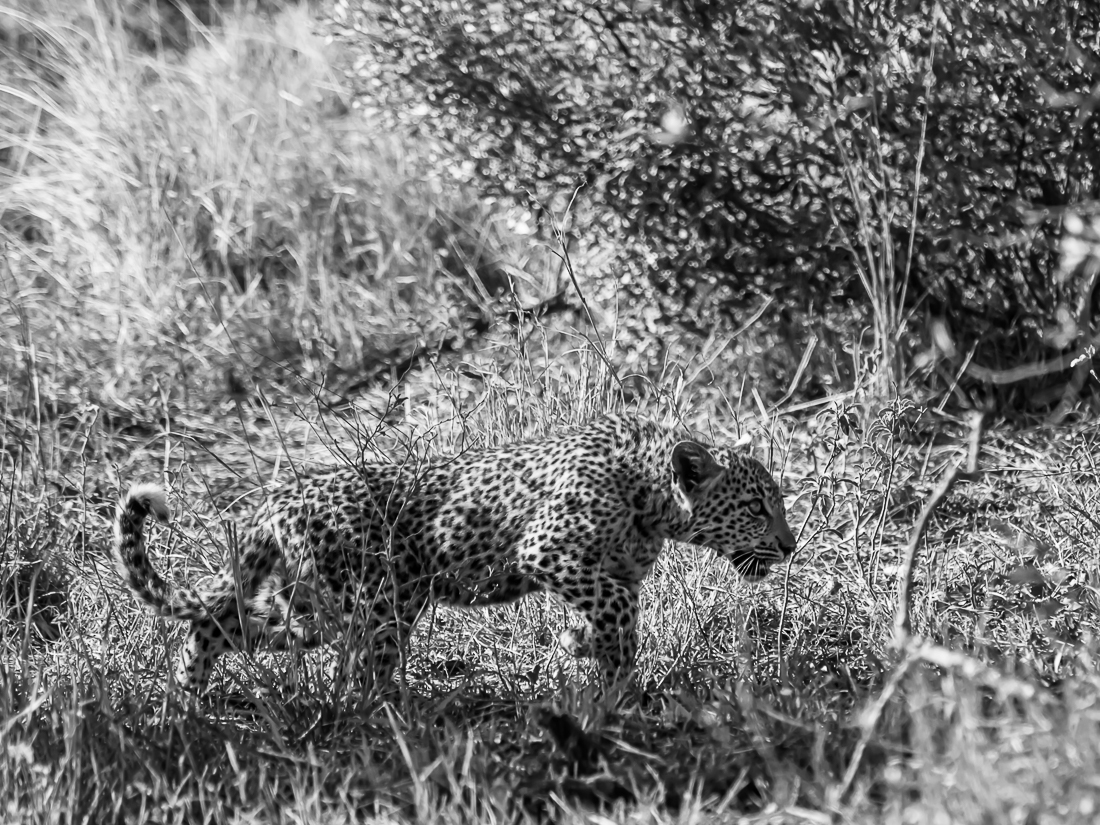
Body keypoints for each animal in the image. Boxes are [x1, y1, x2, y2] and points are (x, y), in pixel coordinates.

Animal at [111, 414, 797, 695]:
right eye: (757, 506)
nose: (790, 546)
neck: (653, 498)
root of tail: (277, 495)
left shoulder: (605, 569)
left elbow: (612, 609)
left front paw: (588, 652)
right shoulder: (548, 550)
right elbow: (620, 606)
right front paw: (612, 672)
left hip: (317, 598)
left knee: (225, 626)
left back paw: (188, 697)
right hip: (370, 600)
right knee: (346, 663)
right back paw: (377, 713)